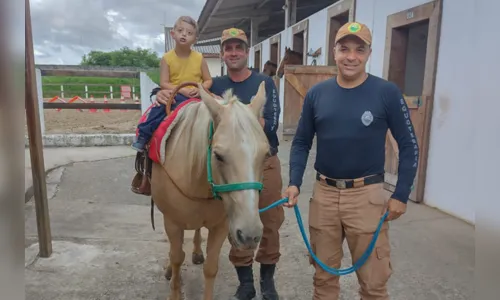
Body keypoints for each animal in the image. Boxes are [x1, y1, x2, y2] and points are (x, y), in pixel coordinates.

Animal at [151, 81, 272, 298]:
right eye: (218, 155)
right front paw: (174, 288)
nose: (249, 234)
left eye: (266, 155)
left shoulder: (221, 227)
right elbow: (176, 258)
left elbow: (210, 268)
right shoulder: (172, 222)